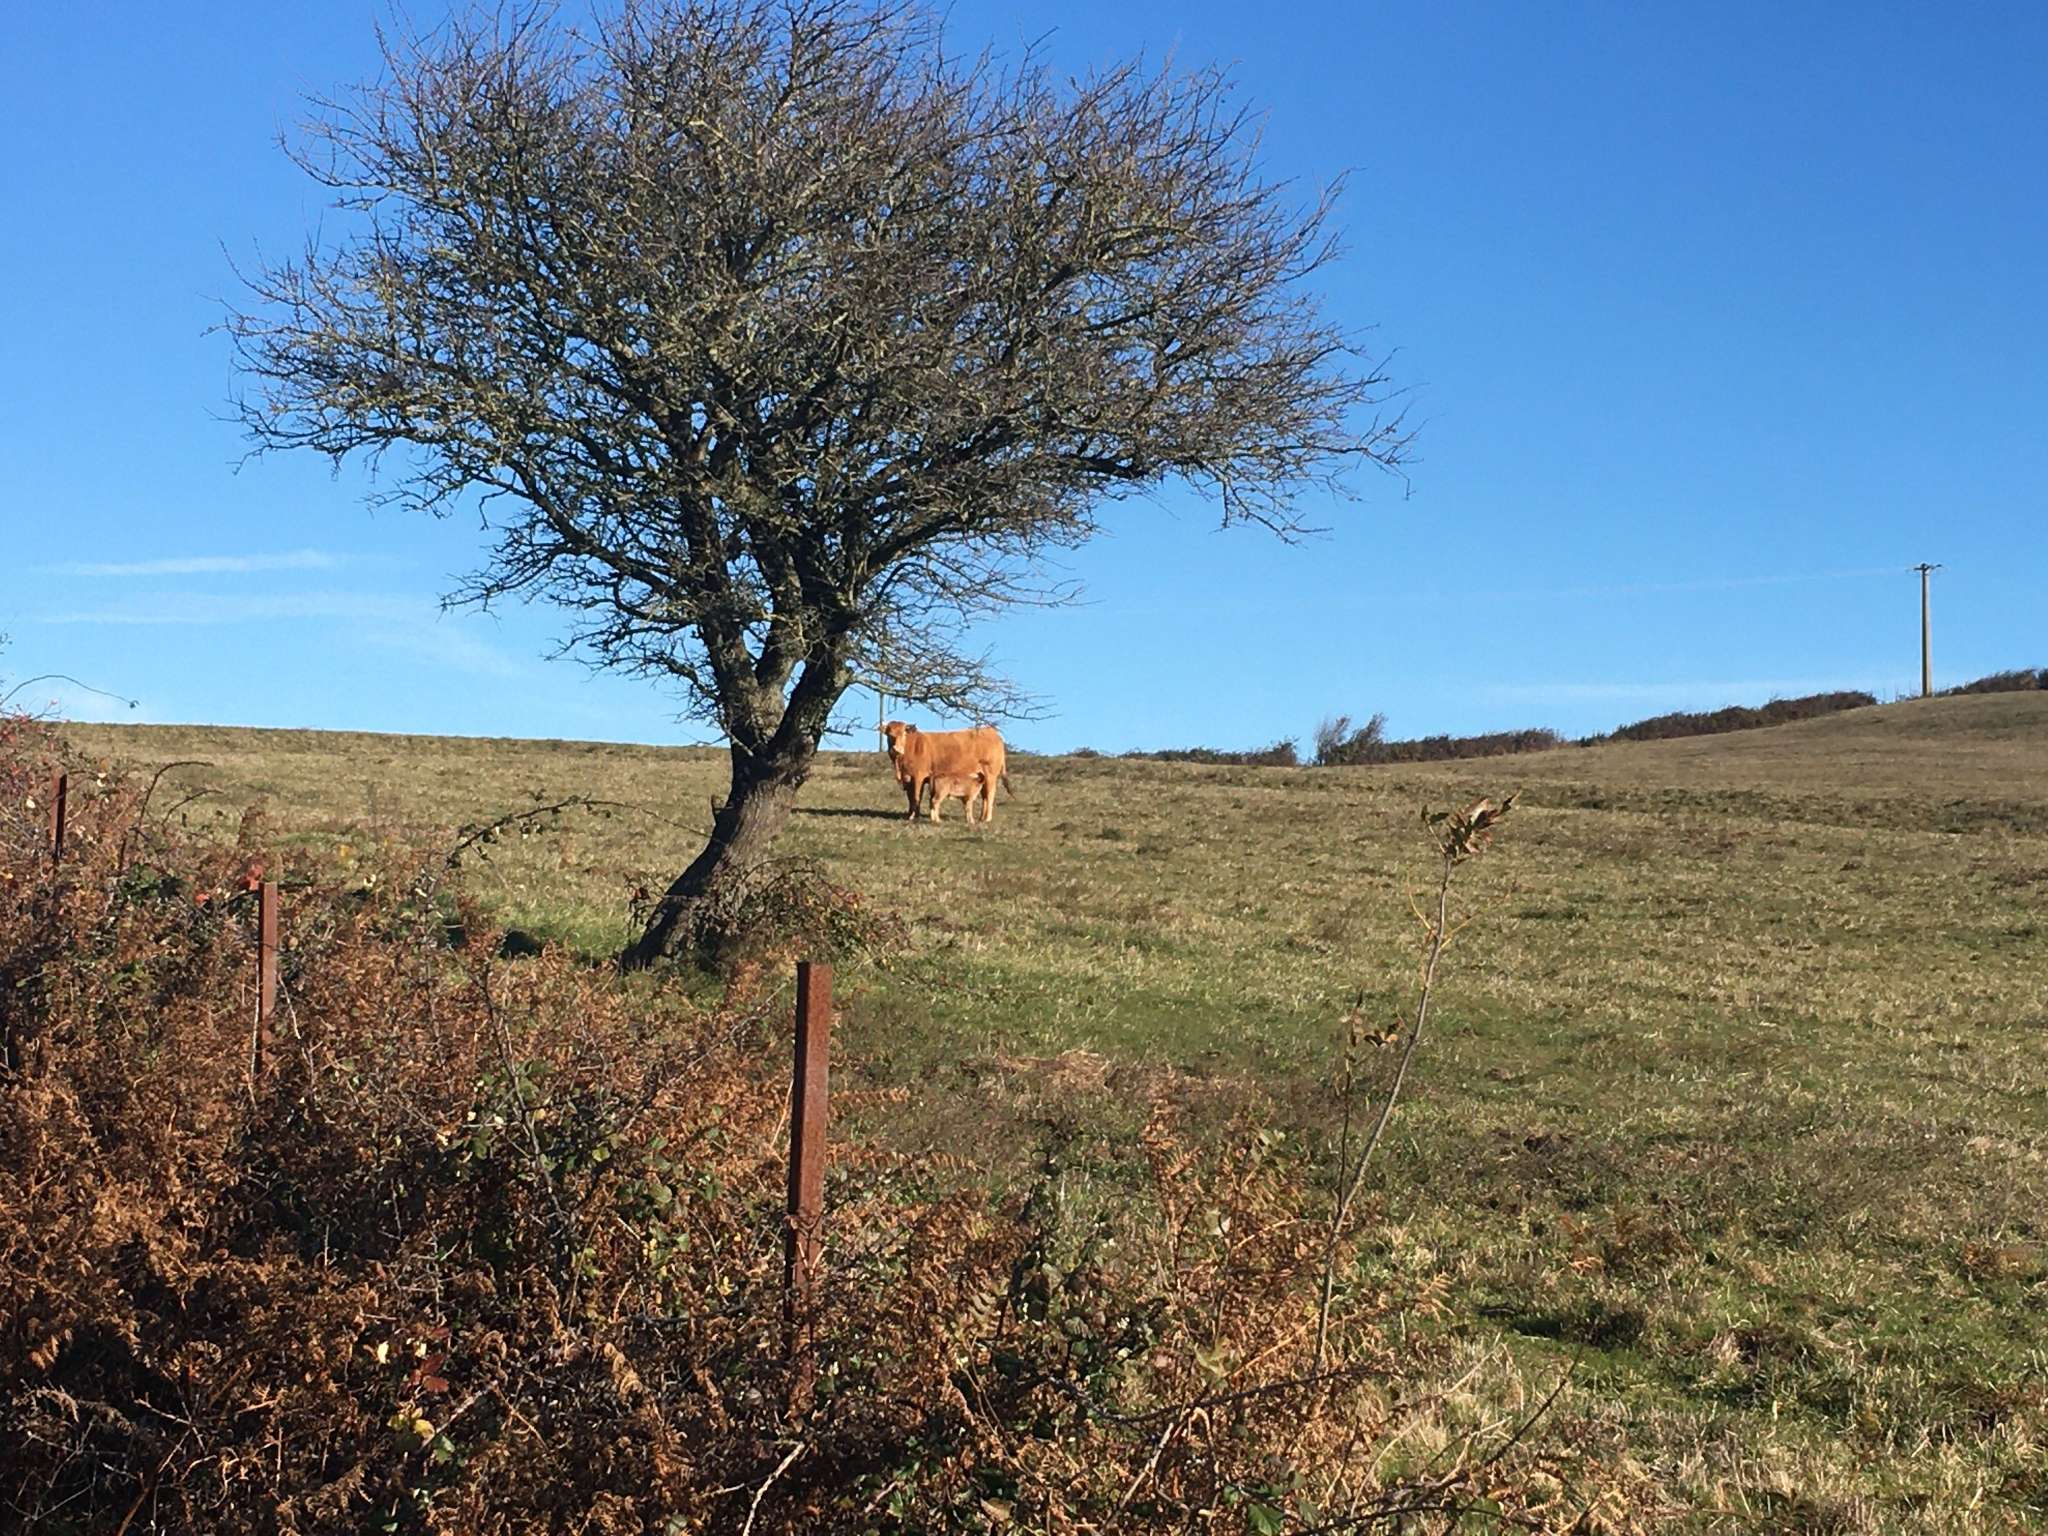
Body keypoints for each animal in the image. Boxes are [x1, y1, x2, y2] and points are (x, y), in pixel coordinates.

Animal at [881, 720, 1013, 824]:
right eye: (889, 735)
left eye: (903, 733)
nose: (896, 749)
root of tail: (991, 731)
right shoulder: (908, 778)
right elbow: (910, 797)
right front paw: (910, 815)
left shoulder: (919, 776)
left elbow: (916, 796)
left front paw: (914, 816)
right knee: (985, 796)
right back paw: (981, 818)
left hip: (991, 775)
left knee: (990, 795)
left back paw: (987, 819)